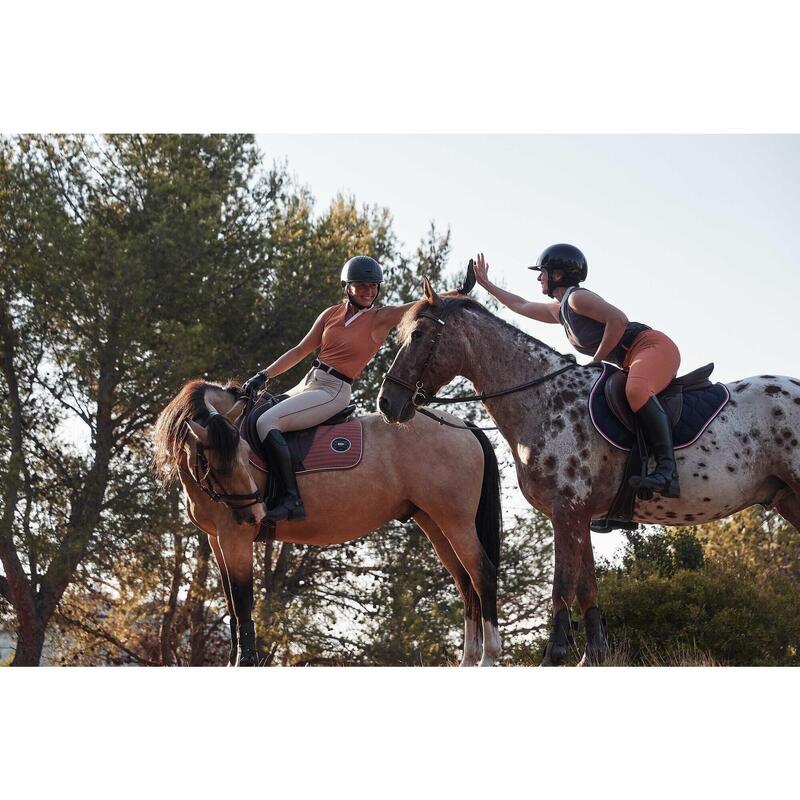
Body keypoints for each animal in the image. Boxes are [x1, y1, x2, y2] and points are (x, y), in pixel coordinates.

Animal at [151, 378, 500, 664]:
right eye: (218, 466)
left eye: (243, 456)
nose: (254, 513)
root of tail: (463, 425)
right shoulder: (216, 539)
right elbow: (231, 602)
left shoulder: (234, 537)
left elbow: (242, 599)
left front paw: (245, 661)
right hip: (435, 523)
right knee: (465, 582)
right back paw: (469, 659)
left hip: (456, 522)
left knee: (482, 573)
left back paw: (488, 657)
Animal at [376, 278, 800, 664]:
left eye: (417, 335)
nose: (387, 402)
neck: (543, 398)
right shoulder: (580, 515)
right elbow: (588, 588)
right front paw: (592, 656)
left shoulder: (566, 511)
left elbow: (562, 587)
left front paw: (554, 656)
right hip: (786, 499)